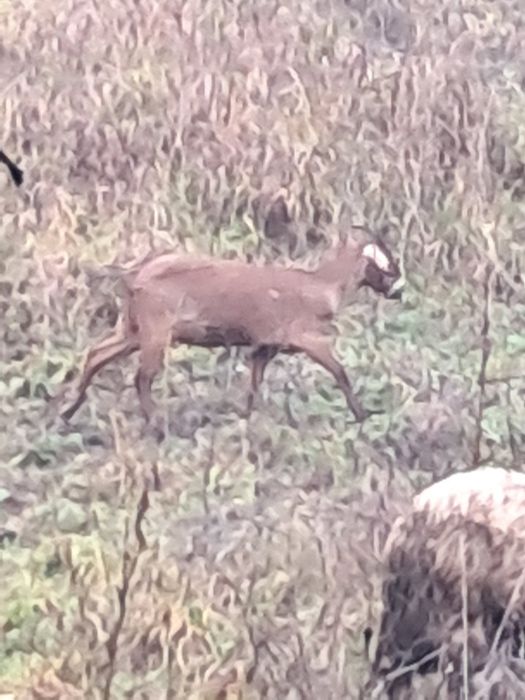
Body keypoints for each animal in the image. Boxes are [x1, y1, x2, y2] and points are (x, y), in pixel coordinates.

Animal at [61, 234, 404, 430]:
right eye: (387, 264)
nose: (399, 290)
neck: (322, 285)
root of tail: (136, 277)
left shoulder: (265, 347)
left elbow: (254, 383)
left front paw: (245, 417)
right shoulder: (306, 338)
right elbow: (340, 372)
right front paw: (362, 415)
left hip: (132, 329)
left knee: (96, 355)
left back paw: (68, 413)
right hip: (156, 332)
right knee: (142, 377)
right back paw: (155, 425)